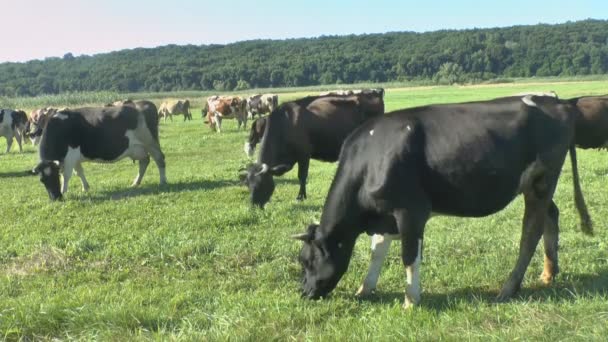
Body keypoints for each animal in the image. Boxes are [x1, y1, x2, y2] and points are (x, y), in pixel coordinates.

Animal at [31, 103, 166, 202]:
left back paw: (163, 182)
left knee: (160, 159)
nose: (55, 198)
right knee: (144, 161)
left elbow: (67, 175)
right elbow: (79, 172)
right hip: (138, 148)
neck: (58, 128)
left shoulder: (69, 156)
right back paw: (136, 183)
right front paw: (85, 188)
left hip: (151, 142)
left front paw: (64, 191)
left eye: (55, 176)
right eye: (42, 180)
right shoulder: (74, 157)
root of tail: (145, 103)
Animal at [241, 91, 384, 207]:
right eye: (247, 184)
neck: (285, 124)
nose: (253, 205)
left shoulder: (304, 154)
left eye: (261, 184)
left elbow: (302, 176)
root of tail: (375, 92)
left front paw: (300, 197)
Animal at [292, 95, 592, 308]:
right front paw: (364, 289)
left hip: (542, 179)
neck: (371, 159)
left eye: (307, 261)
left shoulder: (410, 211)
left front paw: (411, 301)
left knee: (531, 231)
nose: (304, 292)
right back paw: (548, 273)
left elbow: (409, 255)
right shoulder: (384, 215)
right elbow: (377, 252)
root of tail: (558, 101)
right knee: (550, 216)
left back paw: (508, 289)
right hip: (536, 185)